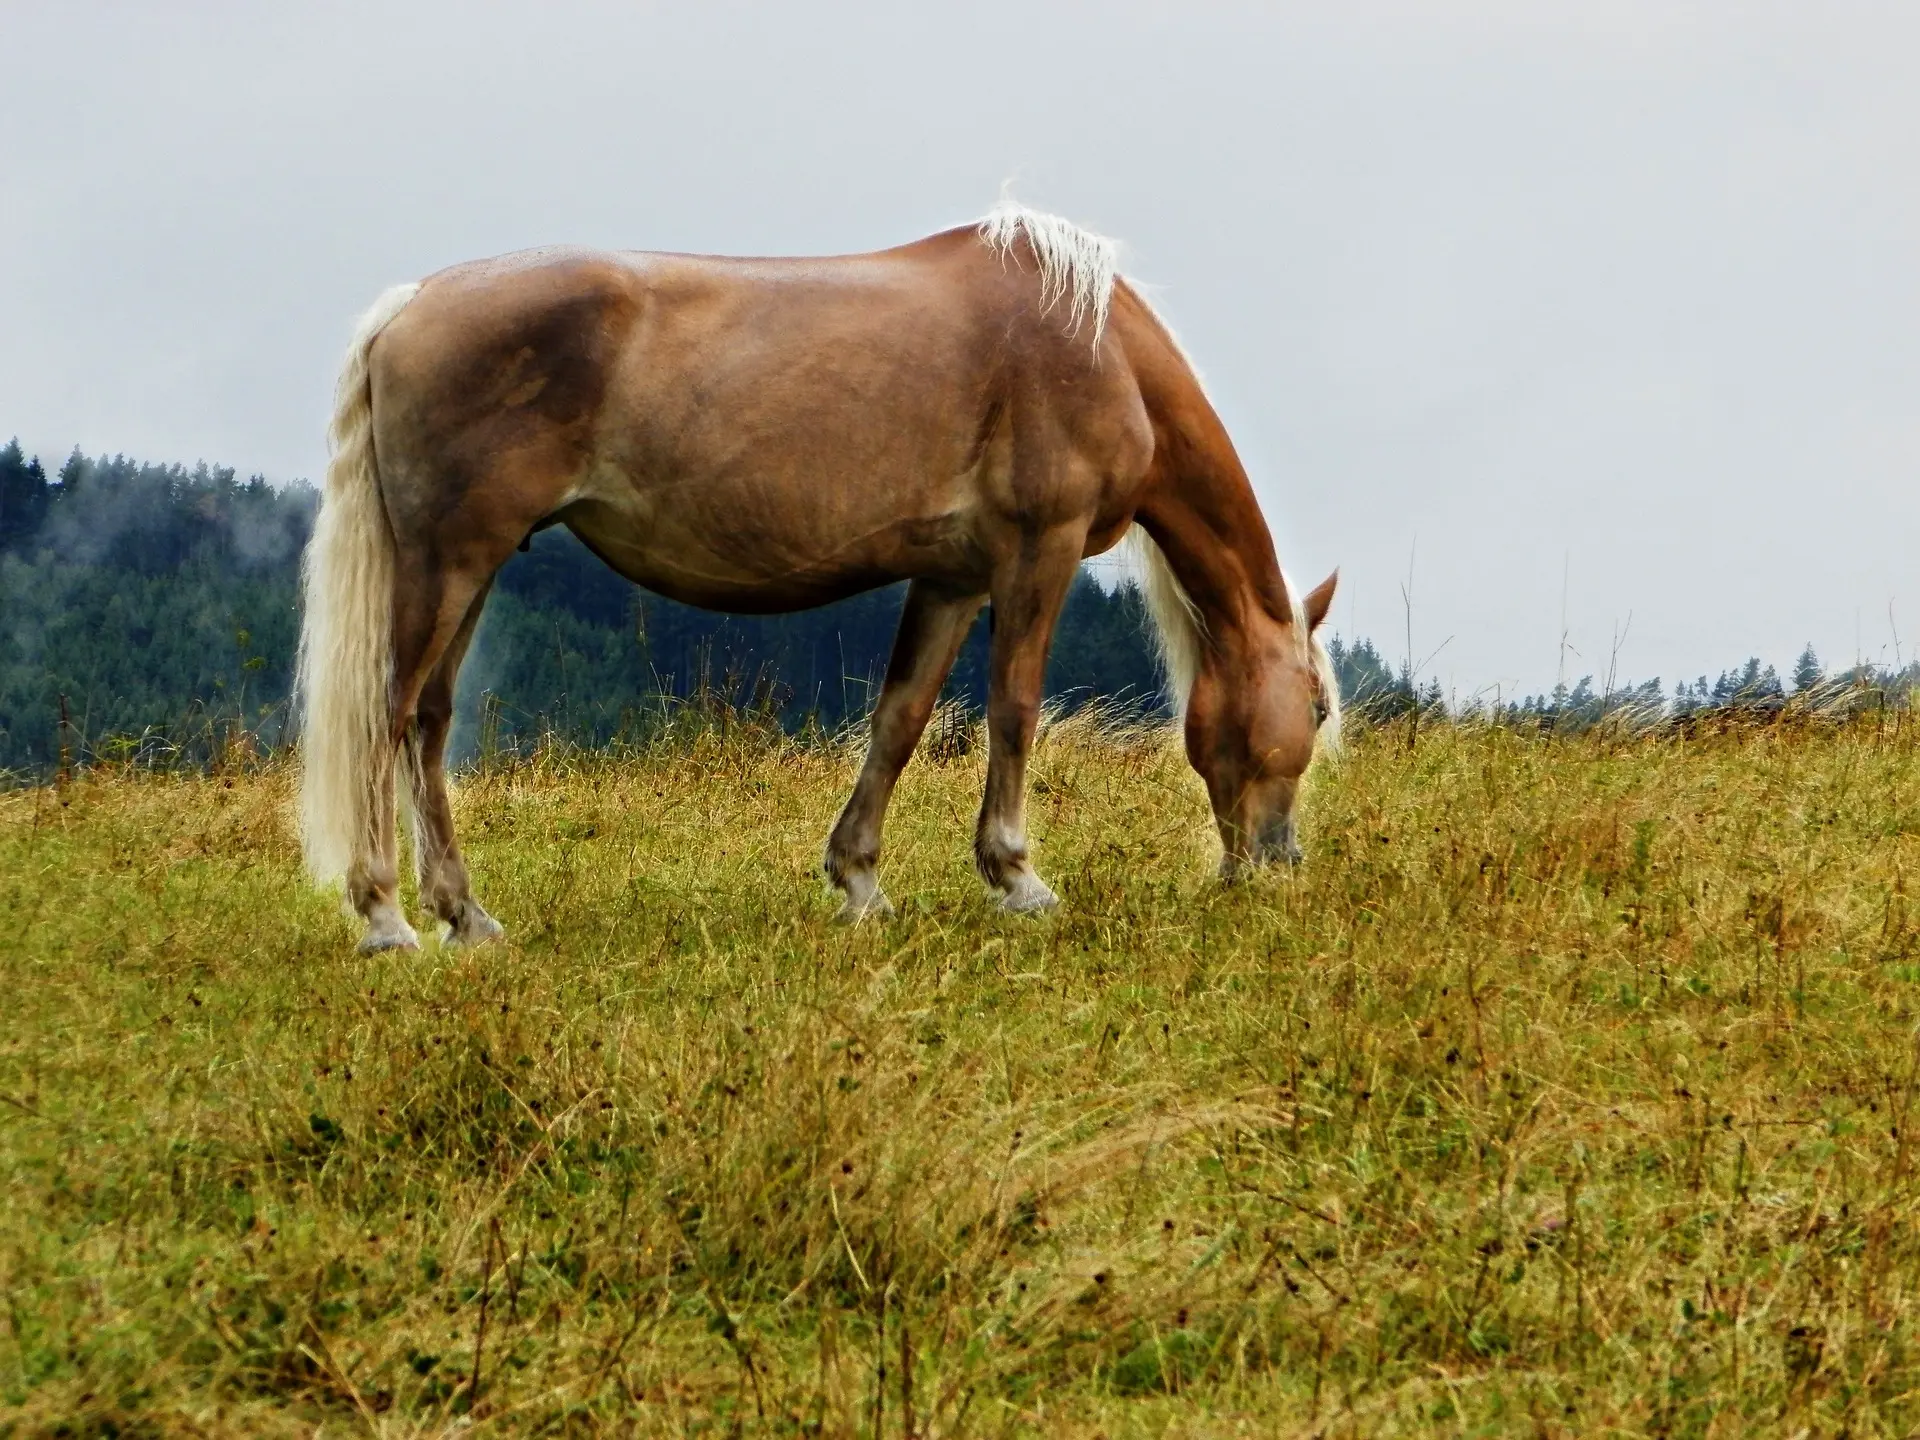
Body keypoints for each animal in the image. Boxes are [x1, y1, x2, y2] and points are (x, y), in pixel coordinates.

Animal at [295, 200, 1336, 948]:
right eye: (1319, 708)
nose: (1276, 863)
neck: (1099, 344)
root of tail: (410, 306)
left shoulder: (953, 577)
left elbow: (901, 719)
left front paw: (860, 882)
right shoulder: (1037, 552)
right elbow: (1015, 709)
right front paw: (1016, 876)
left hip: (467, 569)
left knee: (429, 722)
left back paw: (464, 915)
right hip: (448, 562)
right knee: (388, 716)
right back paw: (385, 917)